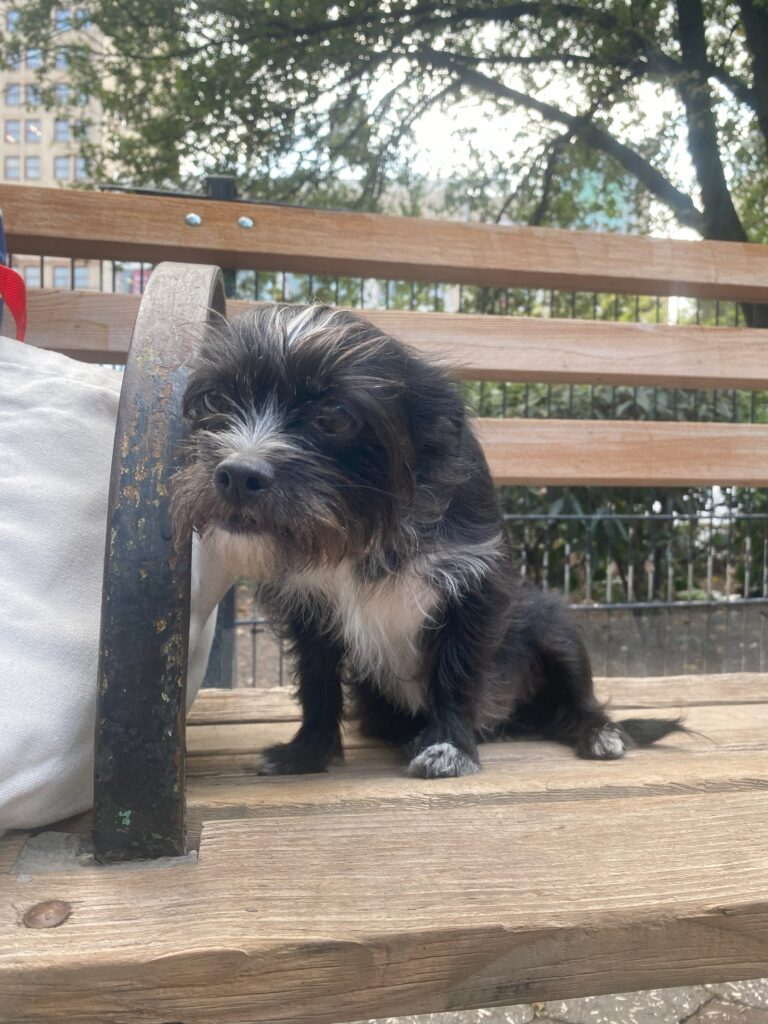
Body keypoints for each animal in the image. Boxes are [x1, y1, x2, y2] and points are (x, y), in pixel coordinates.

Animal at [174, 303, 684, 774]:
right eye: (215, 399)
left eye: (334, 415)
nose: (238, 475)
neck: (367, 534)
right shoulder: (309, 609)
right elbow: (317, 683)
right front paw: (307, 753)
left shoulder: (477, 586)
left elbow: (456, 673)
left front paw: (449, 746)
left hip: (555, 625)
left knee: (577, 700)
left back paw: (599, 732)